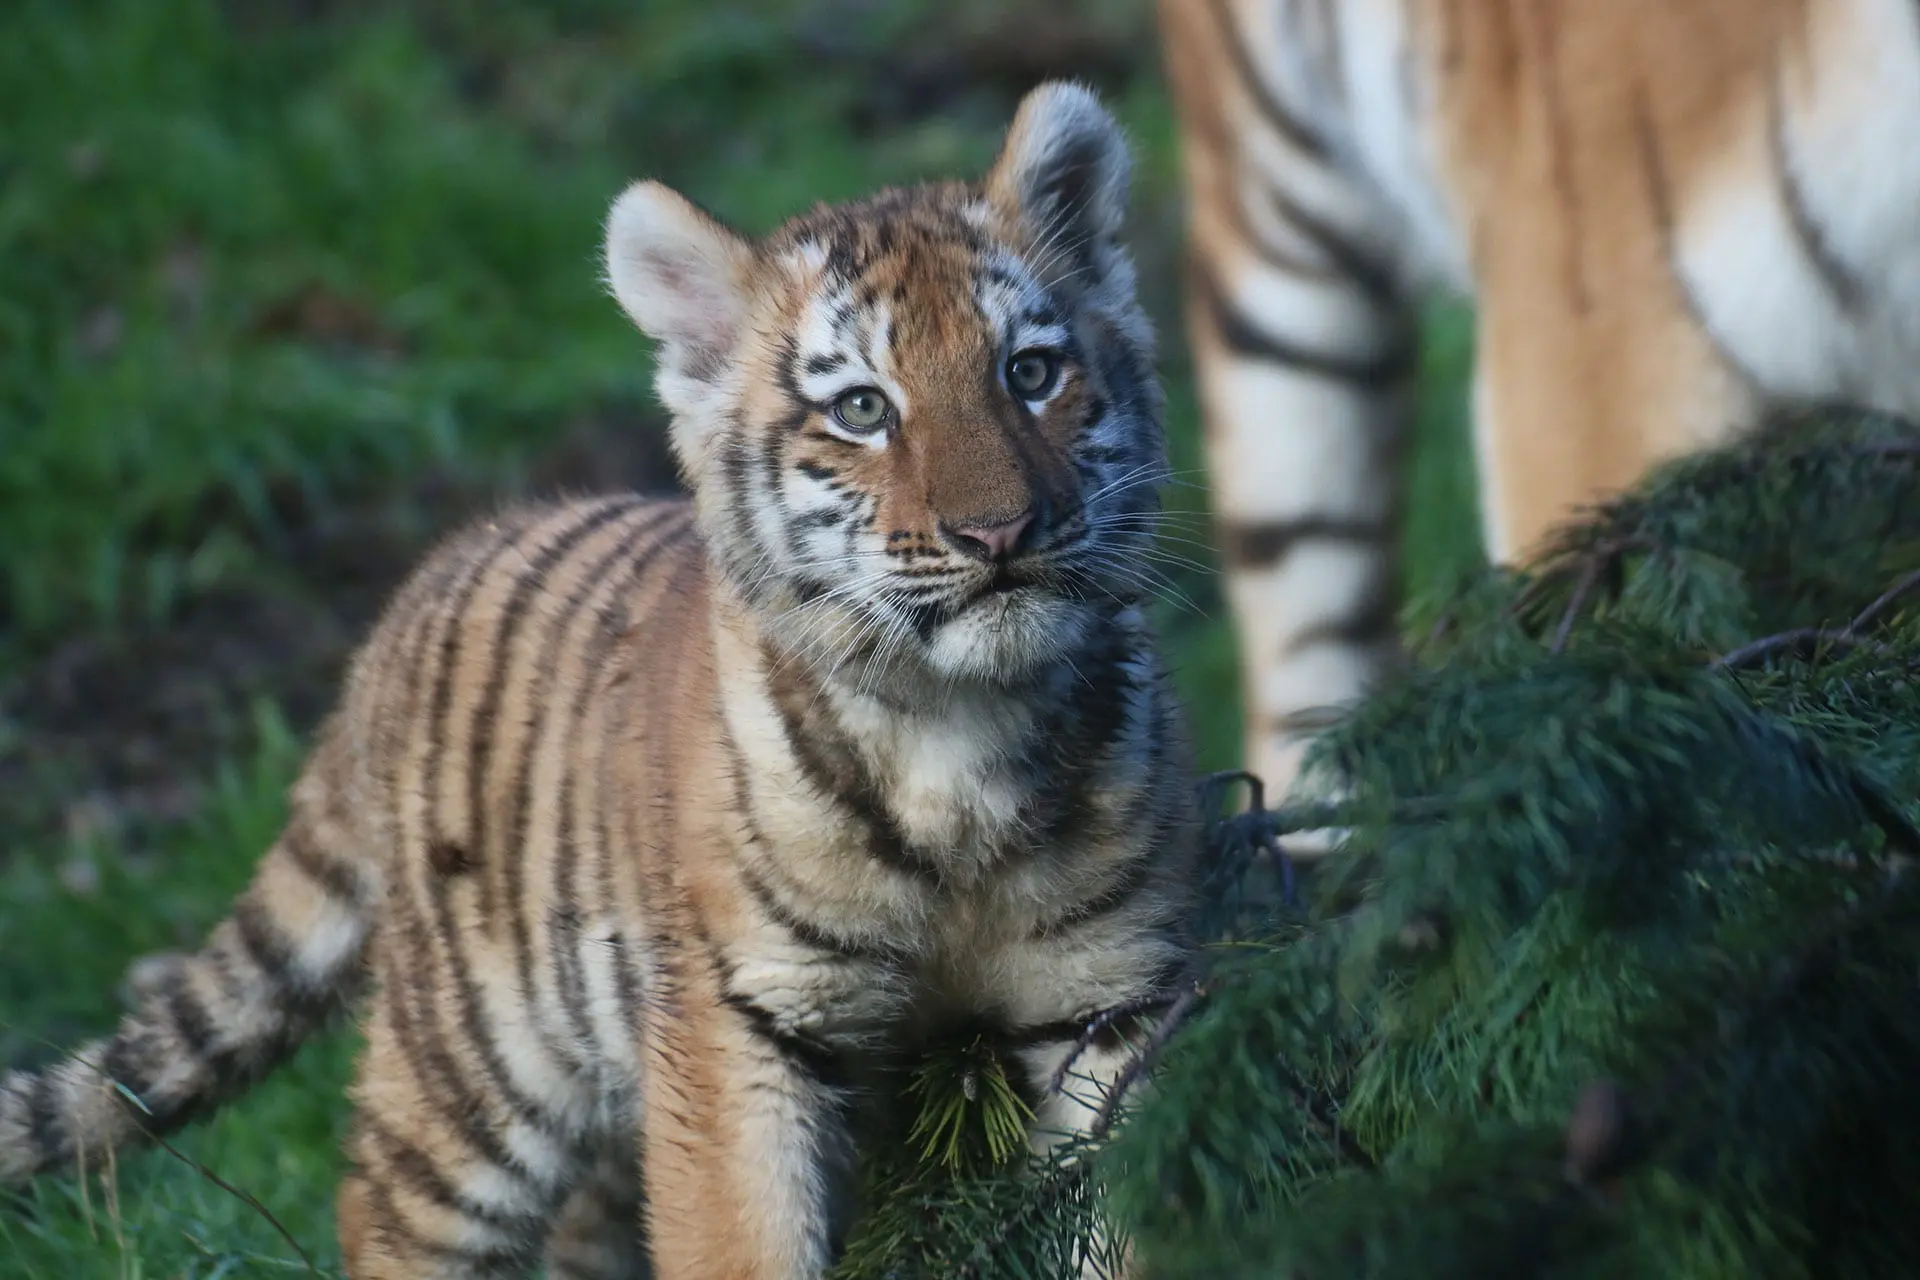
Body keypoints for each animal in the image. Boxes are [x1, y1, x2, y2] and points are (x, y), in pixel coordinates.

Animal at [0, 81, 1196, 1280]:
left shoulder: (1113, 1002)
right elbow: (742, 1244)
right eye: (862, 408)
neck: (963, 729)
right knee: (386, 1205)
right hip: (477, 1075)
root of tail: (398, 613)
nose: (1000, 532)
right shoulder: (739, 1020)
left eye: (1029, 373)